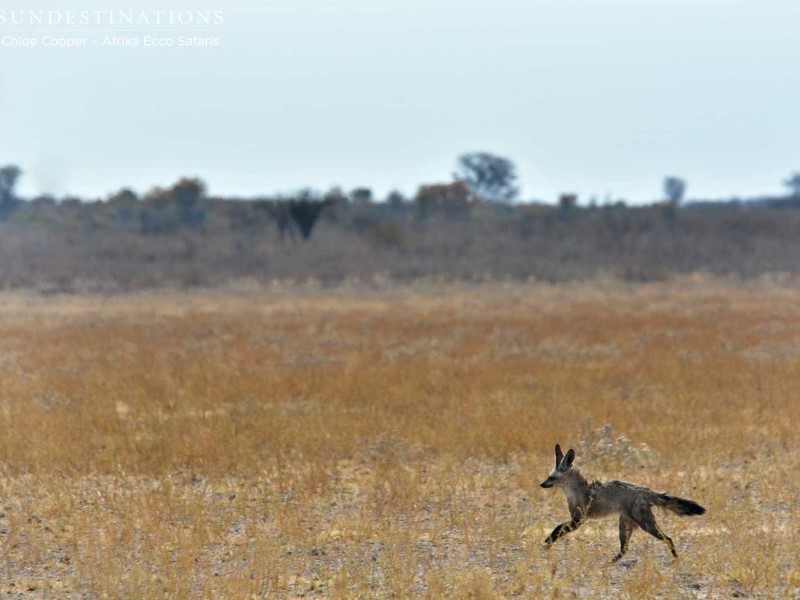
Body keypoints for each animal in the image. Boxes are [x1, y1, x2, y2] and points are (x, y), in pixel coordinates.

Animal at [540, 440, 704, 564]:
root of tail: (645, 490)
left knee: (668, 539)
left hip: (645, 524)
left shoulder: (579, 520)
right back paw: (609, 563)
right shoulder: (576, 519)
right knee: (624, 549)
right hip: (625, 525)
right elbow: (558, 528)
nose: (541, 485)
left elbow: (557, 529)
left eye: (551, 478)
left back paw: (676, 559)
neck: (577, 491)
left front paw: (547, 543)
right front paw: (547, 543)